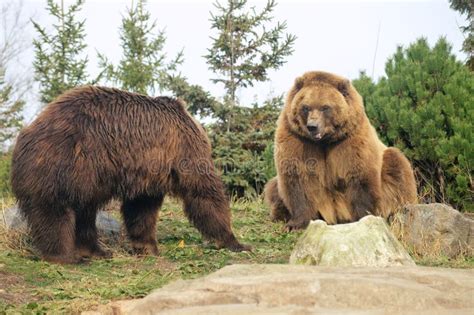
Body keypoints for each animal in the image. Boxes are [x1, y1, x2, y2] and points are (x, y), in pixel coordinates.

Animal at [11, 86, 250, 264]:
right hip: (65, 165)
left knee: (84, 211)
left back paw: (96, 251)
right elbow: (203, 191)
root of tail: (25, 134)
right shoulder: (182, 148)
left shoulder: (147, 173)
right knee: (57, 210)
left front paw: (147, 247)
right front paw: (235, 241)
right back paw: (64, 256)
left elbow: (141, 208)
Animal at [264, 71, 416, 231]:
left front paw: (363, 216)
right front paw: (295, 223)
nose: (312, 126)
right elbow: (298, 177)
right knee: (273, 187)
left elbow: (359, 174)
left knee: (397, 166)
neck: (325, 141)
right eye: (306, 107)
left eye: (325, 107)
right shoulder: (298, 140)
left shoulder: (349, 140)